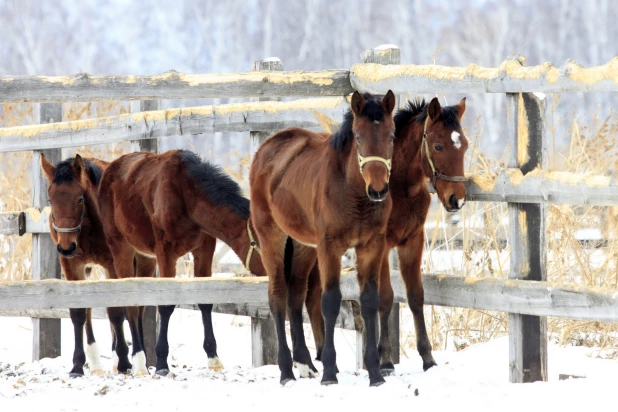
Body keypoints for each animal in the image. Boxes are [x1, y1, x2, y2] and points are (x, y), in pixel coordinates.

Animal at [39, 154, 154, 376]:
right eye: (51, 200)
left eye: (80, 199)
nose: (66, 247)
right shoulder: (73, 266)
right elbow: (79, 312)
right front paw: (77, 365)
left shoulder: (113, 265)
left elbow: (116, 312)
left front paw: (125, 361)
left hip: (144, 263)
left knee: (138, 308)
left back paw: (136, 357)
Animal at [97, 149, 276, 376]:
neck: (187, 196)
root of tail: (111, 168)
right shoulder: (165, 254)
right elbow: (165, 306)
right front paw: (162, 363)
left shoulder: (204, 250)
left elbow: (205, 302)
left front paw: (213, 358)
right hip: (121, 248)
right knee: (128, 304)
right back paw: (135, 361)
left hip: (145, 258)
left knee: (139, 305)